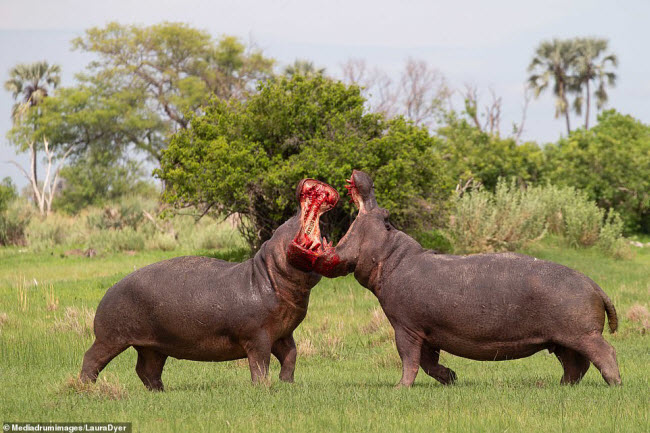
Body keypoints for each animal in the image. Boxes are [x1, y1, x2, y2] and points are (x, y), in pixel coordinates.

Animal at [81, 178, 340, 388]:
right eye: (287, 221)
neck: (270, 273)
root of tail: (109, 289)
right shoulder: (258, 336)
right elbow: (260, 364)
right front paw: (262, 388)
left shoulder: (283, 334)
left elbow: (291, 357)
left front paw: (287, 384)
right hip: (110, 338)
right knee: (91, 358)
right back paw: (87, 388)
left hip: (153, 345)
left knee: (146, 370)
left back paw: (160, 391)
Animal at [286, 170, 620, 386]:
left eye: (386, 215)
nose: (362, 174)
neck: (391, 257)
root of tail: (594, 284)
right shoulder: (427, 329)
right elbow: (428, 362)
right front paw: (451, 379)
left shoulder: (405, 327)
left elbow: (409, 359)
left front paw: (400, 388)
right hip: (563, 339)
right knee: (575, 366)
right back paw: (561, 387)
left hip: (583, 334)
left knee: (604, 353)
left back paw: (614, 384)